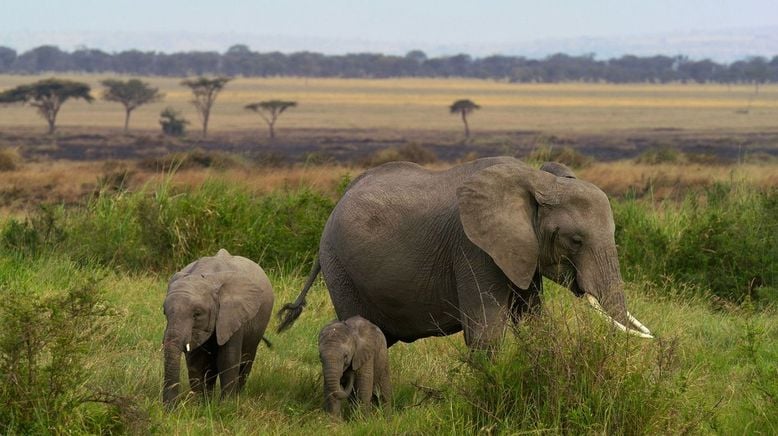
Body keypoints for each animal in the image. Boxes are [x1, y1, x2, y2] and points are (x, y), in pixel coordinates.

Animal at [159, 250, 274, 408]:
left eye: (197, 314)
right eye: (165, 313)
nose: (169, 409)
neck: (207, 276)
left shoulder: (233, 314)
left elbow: (228, 359)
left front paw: (226, 406)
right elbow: (196, 361)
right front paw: (201, 404)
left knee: (246, 359)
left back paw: (238, 395)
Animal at [276, 157, 652, 348]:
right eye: (575, 240)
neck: (539, 180)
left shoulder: (520, 253)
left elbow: (533, 322)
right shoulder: (474, 249)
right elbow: (486, 332)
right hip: (338, 264)